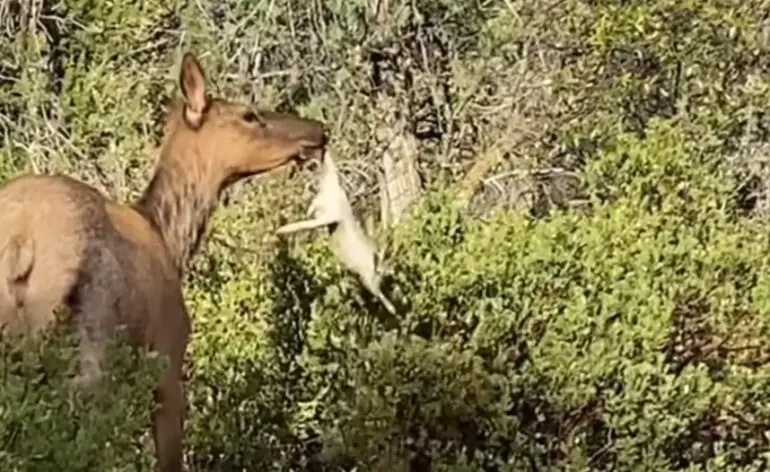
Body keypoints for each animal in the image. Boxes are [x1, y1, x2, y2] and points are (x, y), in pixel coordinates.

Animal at [0, 52, 328, 472]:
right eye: (249, 115)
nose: (319, 131)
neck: (170, 238)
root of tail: (21, 239)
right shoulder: (169, 358)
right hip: (91, 341)